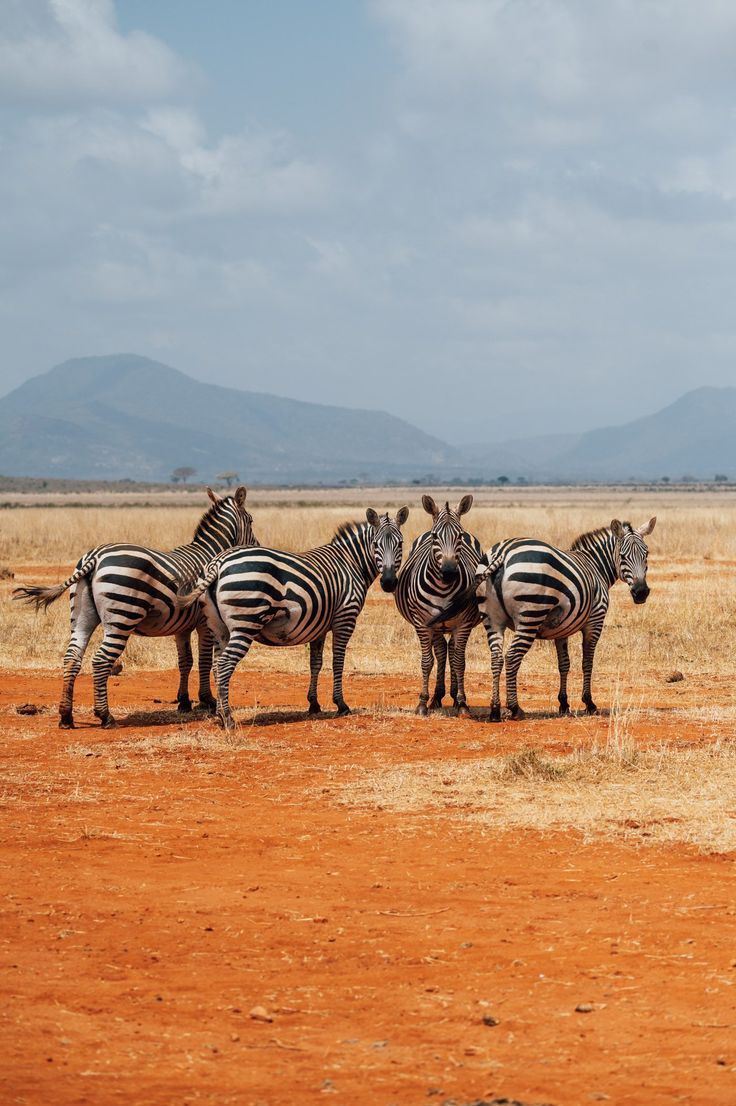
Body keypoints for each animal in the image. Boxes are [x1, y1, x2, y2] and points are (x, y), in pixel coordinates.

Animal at [13, 487, 256, 729]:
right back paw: (105, 716)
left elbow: (185, 662)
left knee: (72, 657)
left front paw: (184, 701)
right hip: (122, 616)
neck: (210, 552)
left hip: (81, 616)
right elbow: (205, 661)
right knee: (100, 660)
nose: (255, 547)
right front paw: (207, 701)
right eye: (252, 521)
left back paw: (66, 716)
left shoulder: (182, 626)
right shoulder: (205, 623)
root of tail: (95, 557)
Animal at [175, 507, 409, 728]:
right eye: (376, 544)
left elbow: (316, 663)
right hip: (245, 623)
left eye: (400, 544)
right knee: (224, 665)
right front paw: (341, 704)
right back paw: (228, 719)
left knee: (216, 665)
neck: (351, 563)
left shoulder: (319, 625)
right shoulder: (345, 618)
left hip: (218, 628)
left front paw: (314, 704)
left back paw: (220, 714)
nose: (389, 582)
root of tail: (218, 563)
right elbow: (338, 662)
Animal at [394, 495, 482, 717]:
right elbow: (427, 662)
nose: (449, 572)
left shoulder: (463, 624)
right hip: (435, 627)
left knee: (451, 651)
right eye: (435, 537)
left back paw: (452, 697)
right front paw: (422, 703)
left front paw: (462, 703)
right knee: (442, 651)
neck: (443, 588)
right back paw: (436, 697)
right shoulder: (422, 623)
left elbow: (459, 661)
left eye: (460, 536)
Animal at [473, 517, 656, 721]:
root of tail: (503, 552)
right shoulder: (595, 621)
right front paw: (589, 703)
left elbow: (564, 664)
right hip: (530, 616)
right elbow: (587, 662)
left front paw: (564, 703)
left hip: (492, 620)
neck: (595, 565)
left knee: (496, 659)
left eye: (646, 554)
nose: (641, 592)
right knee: (512, 657)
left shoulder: (562, 629)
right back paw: (515, 708)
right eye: (623, 556)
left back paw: (495, 710)